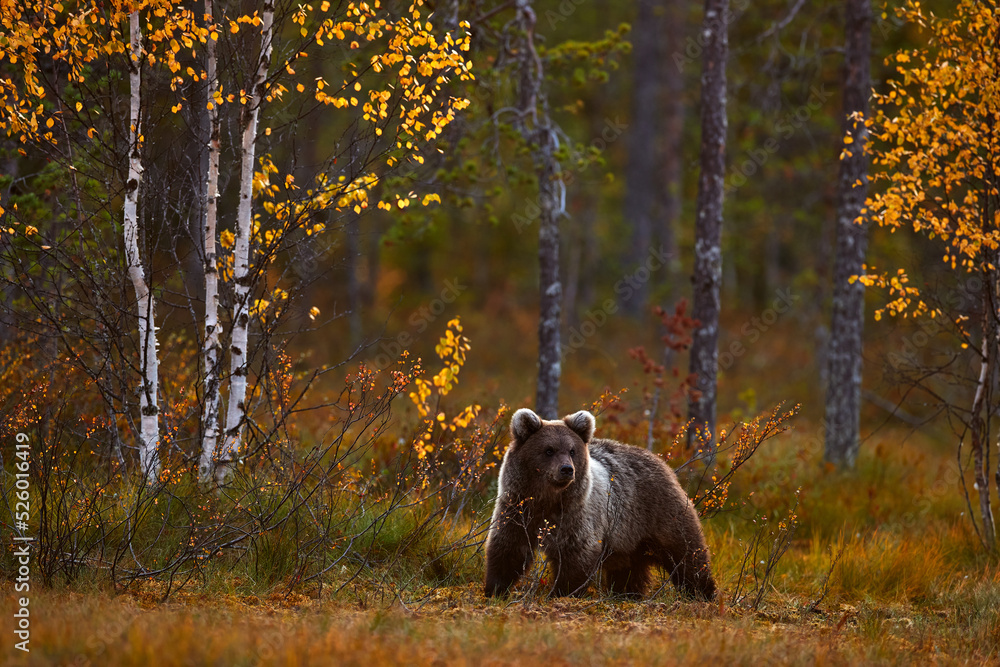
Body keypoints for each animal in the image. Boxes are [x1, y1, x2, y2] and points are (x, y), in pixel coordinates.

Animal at [486, 408, 716, 600]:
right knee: (628, 570)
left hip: (659, 514)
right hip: (627, 538)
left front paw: (560, 593)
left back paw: (704, 594)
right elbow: (508, 547)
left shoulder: (577, 515)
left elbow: (576, 555)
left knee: (687, 554)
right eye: (549, 450)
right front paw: (495, 589)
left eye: (572, 450)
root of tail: (661, 461)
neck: (547, 500)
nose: (567, 469)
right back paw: (627, 595)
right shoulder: (517, 508)